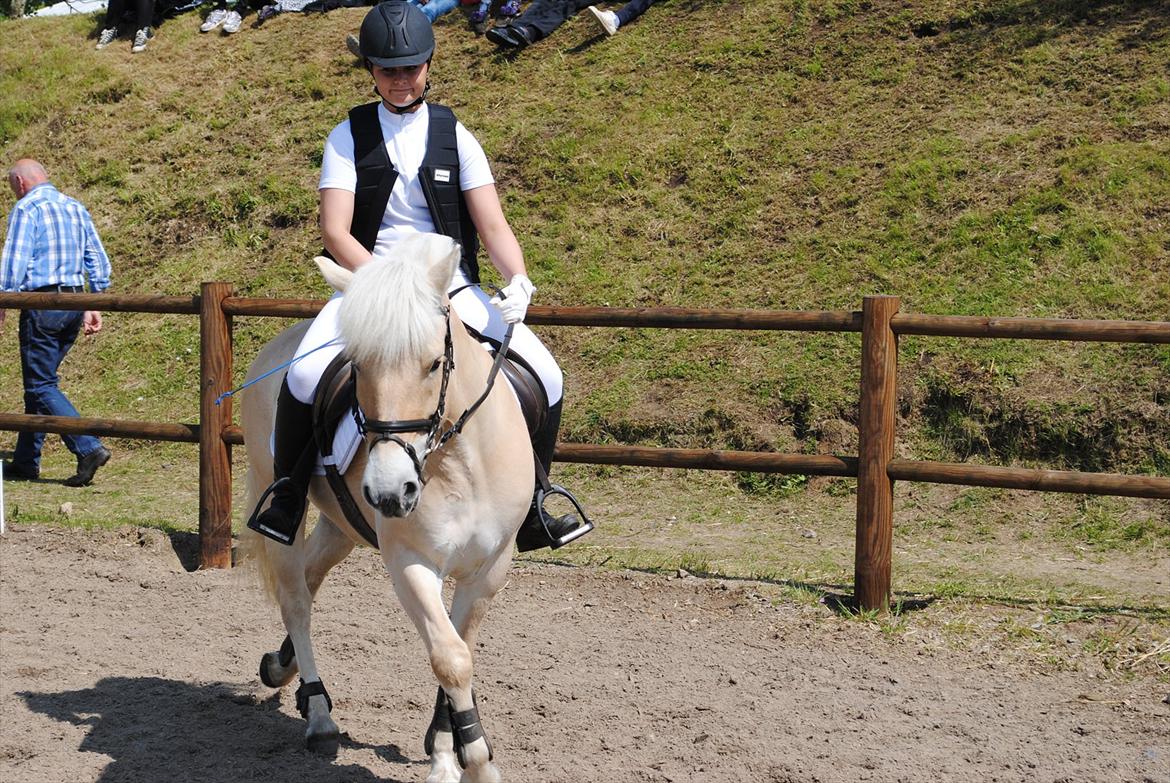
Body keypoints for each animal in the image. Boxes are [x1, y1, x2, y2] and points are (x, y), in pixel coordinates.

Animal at [242, 234, 535, 781]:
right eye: (357, 365)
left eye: (435, 363)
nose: (389, 493)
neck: (459, 463)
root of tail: (276, 344)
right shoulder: (409, 561)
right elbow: (450, 657)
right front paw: (475, 762)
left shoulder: (490, 567)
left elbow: (461, 647)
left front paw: (445, 750)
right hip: (285, 504)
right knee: (296, 598)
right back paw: (318, 715)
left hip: (341, 525)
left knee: (311, 578)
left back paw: (282, 666)